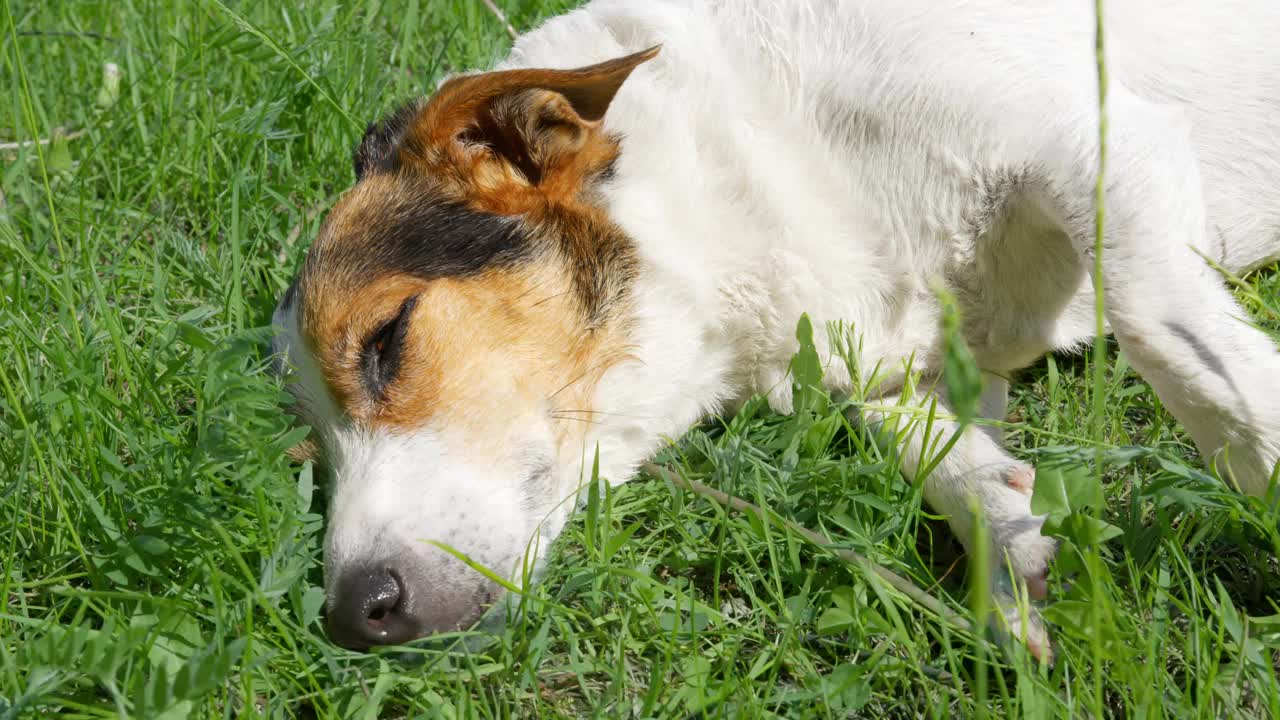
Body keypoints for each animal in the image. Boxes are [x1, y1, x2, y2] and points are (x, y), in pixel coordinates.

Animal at [270, 0, 1280, 650]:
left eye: (386, 339)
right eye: (309, 442)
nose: (352, 615)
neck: (751, 151)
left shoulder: (1100, 148)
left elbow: (1186, 349)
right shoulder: (914, 362)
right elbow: (940, 456)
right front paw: (1010, 553)